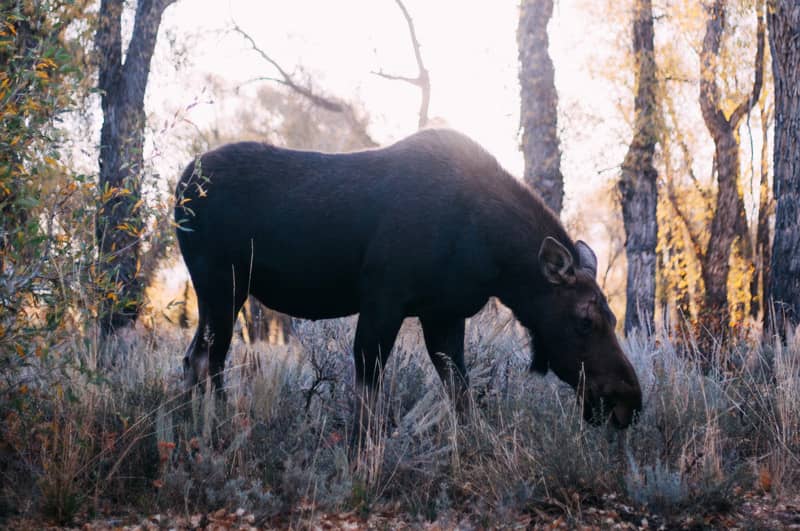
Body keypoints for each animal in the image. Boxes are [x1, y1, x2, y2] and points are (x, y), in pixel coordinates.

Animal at [177, 130, 644, 432]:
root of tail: (180, 185)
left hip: (221, 293)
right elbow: (370, 391)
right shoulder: (384, 297)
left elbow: (460, 392)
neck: (491, 254)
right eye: (584, 321)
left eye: (613, 318)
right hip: (221, 284)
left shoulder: (444, 313)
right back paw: (213, 429)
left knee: (194, 358)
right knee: (205, 360)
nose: (630, 402)